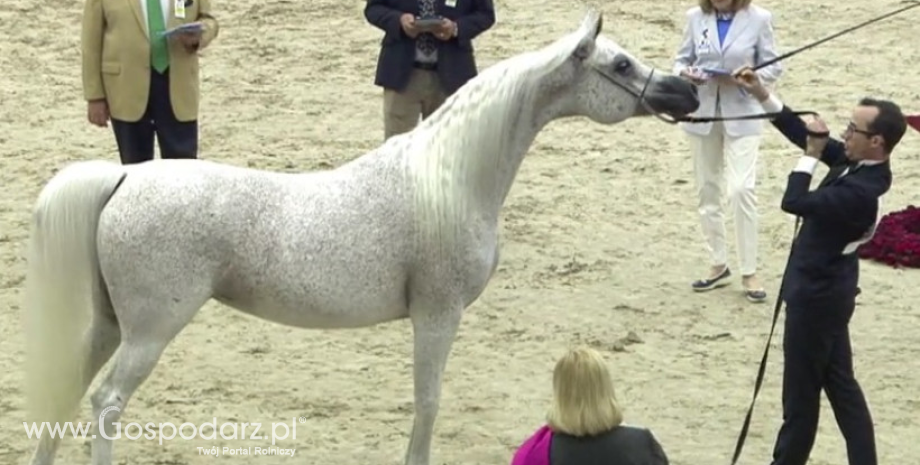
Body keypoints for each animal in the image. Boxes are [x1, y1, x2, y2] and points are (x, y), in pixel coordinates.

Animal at [21, 10, 696, 464]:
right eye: (621, 65)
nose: (685, 91)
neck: (446, 178)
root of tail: (126, 177)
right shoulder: (437, 314)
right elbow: (427, 404)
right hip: (151, 330)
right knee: (106, 402)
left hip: (111, 323)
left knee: (70, 389)